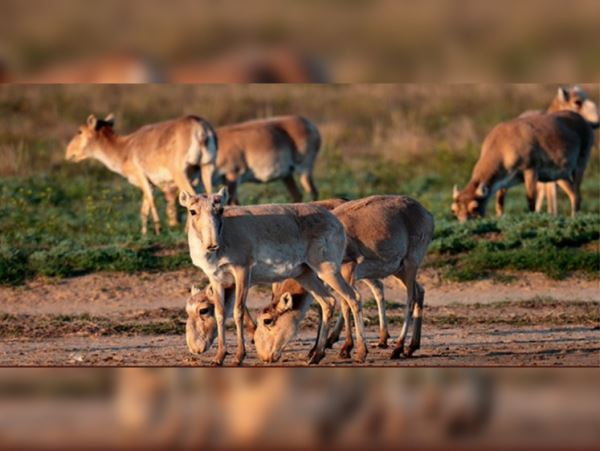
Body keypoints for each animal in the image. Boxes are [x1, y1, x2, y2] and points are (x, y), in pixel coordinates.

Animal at [65, 113, 218, 235]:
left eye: (79, 131)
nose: (67, 153)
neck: (124, 149)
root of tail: (200, 127)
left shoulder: (142, 177)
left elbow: (150, 200)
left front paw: (157, 229)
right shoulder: (151, 183)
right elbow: (144, 208)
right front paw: (144, 232)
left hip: (180, 174)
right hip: (207, 167)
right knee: (210, 194)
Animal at [178, 187, 366, 368]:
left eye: (220, 209)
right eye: (192, 211)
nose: (212, 244)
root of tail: (335, 220)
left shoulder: (242, 272)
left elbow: (238, 312)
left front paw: (238, 357)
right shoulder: (216, 279)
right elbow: (220, 313)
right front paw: (218, 357)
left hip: (328, 270)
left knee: (353, 298)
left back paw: (360, 353)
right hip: (306, 275)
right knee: (328, 302)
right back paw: (316, 356)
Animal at [254, 196, 436, 366]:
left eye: (267, 320)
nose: (264, 357)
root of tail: (427, 213)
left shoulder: (346, 270)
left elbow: (346, 303)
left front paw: (345, 348)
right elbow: (330, 305)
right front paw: (319, 348)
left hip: (410, 263)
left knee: (410, 299)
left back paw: (398, 347)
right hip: (399, 269)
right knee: (419, 291)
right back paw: (411, 346)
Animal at [452, 85, 596, 222]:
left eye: (474, 207)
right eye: (454, 210)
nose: (464, 223)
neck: (502, 142)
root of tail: (582, 120)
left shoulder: (530, 171)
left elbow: (531, 202)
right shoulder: (503, 182)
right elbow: (499, 204)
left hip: (580, 165)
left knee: (577, 194)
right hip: (560, 175)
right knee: (572, 194)